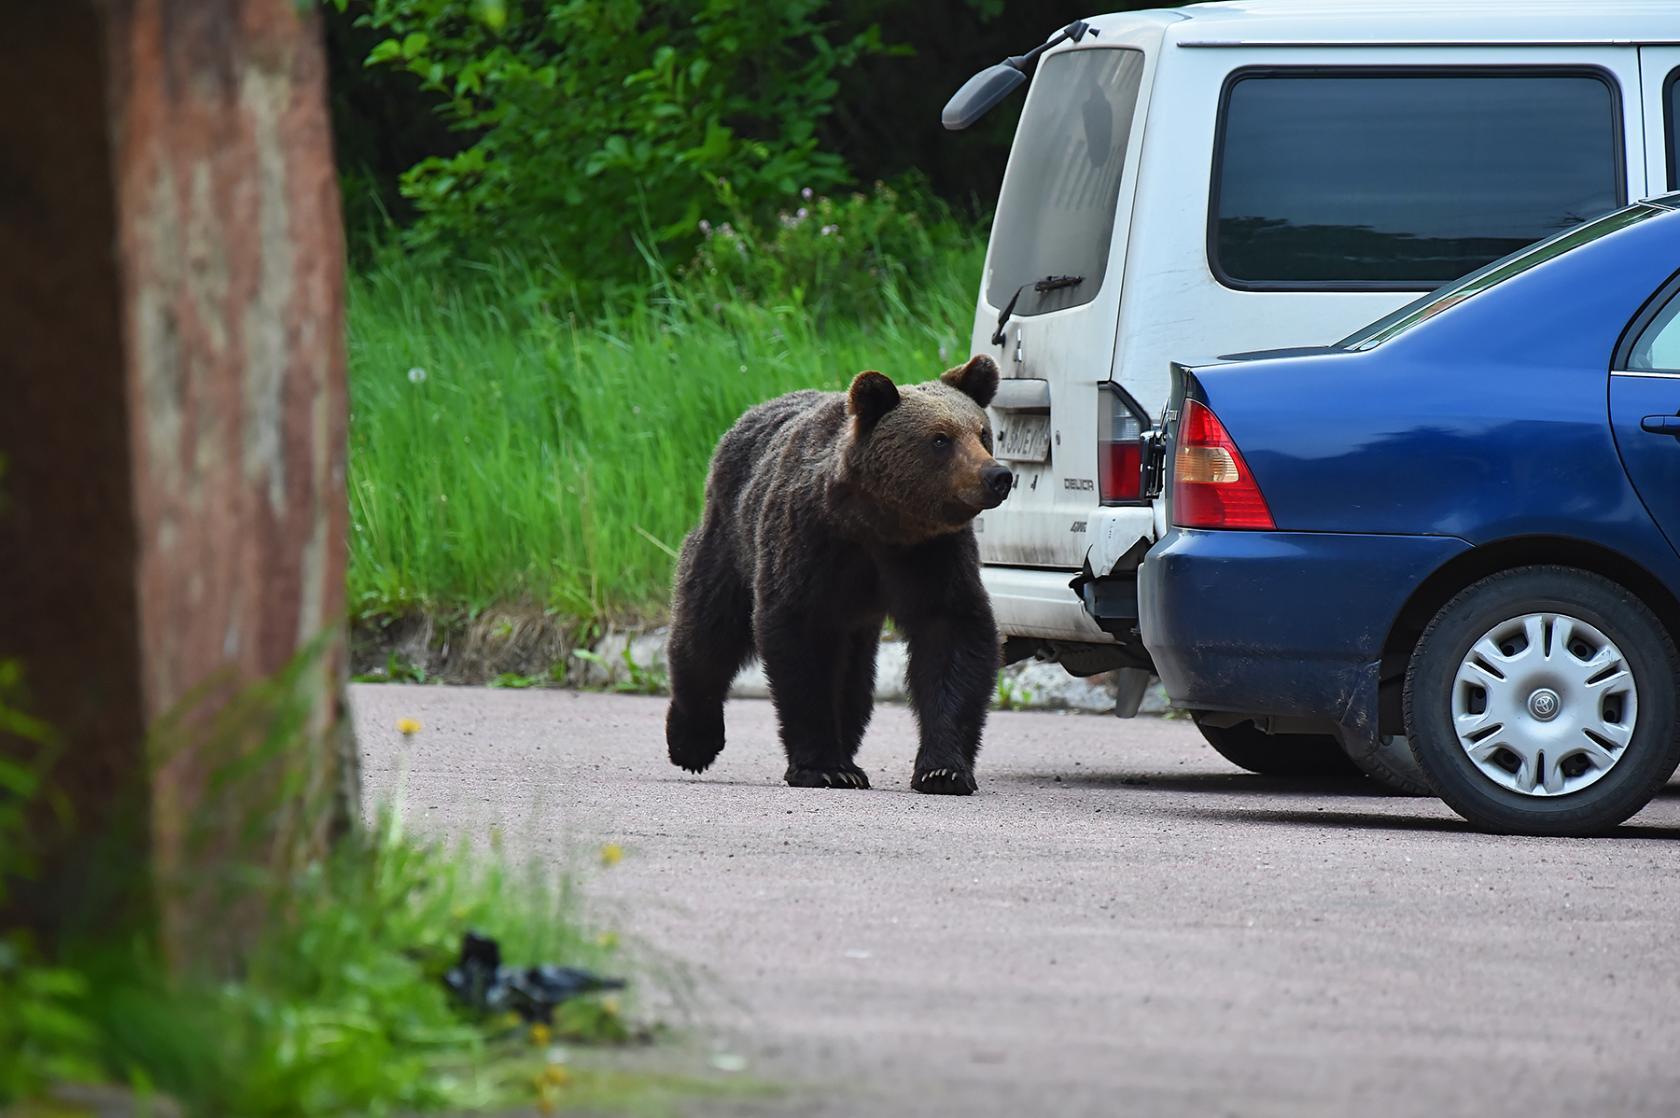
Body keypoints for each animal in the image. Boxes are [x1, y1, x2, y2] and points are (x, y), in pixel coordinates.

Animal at [665, 353, 1007, 790]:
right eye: (940, 439)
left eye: (982, 433)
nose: (997, 476)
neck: (877, 523)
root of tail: (747, 415)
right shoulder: (811, 545)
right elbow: (802, 647)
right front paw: (824, 767)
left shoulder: (931, 556)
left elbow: (953, 636)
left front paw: (943, 769)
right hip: (730, 541)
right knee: (708, 631)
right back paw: (691, 741)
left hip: (855, 615)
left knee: (854, 677)